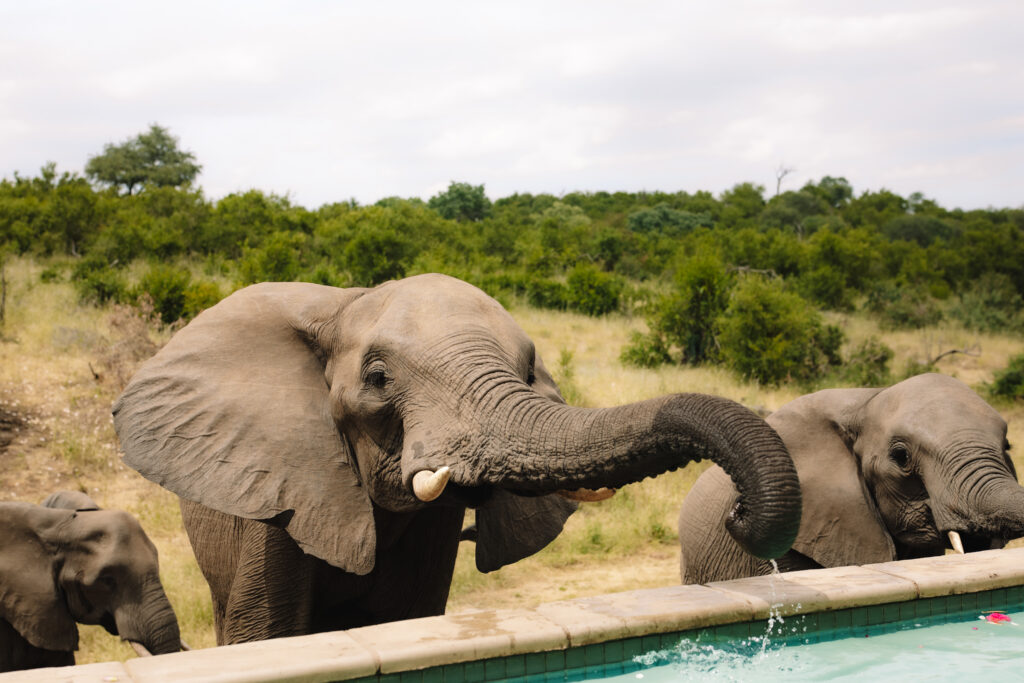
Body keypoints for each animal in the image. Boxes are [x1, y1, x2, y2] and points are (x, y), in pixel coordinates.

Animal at [112, 273, 801, 644]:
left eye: (529, 369)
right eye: (378, 377)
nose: (740, 513)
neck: (347, 300)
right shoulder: (284, 485)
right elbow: (268, 633)